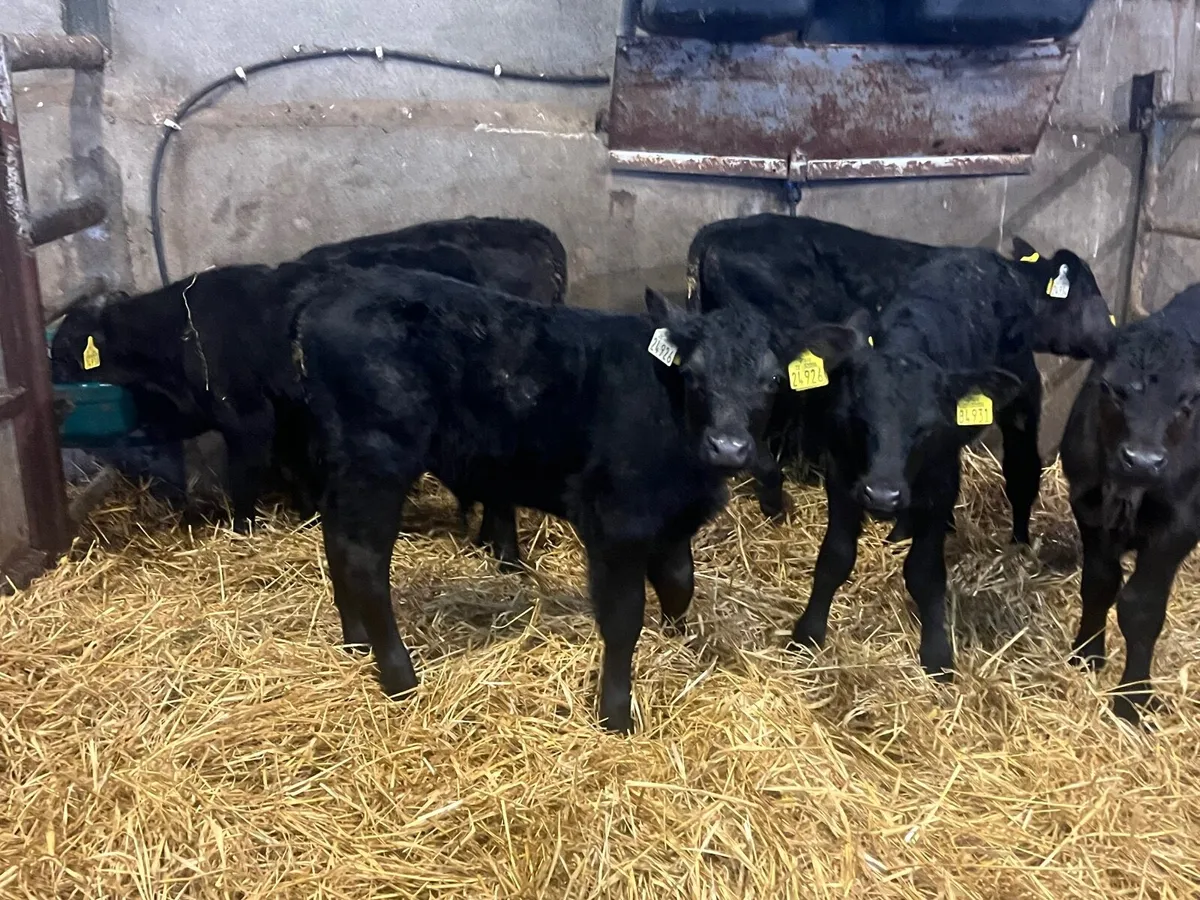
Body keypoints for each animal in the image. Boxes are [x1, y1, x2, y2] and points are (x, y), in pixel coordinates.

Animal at [50, 217, 569, 539]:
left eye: (61, 356)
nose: (55, 396)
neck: (180, 334)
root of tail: (530, 229)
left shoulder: (248, 418)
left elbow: (245, 480)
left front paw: (244, 531)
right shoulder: (288, 416)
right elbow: (297, 470)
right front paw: (308, 516)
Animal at [292, 264, 791, 732]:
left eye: (772, 379)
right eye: (693, 373)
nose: (728, 446)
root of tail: (328, 297)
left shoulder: (670, 517)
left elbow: (678, 583)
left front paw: (677, 641)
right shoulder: (616, 518)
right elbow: (625, 616)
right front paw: (615, 716)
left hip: (347, 463)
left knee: (335, 539)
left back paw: (356, 642)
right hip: (378, 457)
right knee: (363, 559)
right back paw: (400, 678)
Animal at [786, 247, 1087, 681]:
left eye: (927, 427)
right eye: (858, 415)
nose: (883, 494)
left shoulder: (940, 478)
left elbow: (925, 572)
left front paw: (937, 654)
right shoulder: (842, 476)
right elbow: (835, 557)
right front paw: (807, 634)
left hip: (1022, 401)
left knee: (1022, 474)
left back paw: (1018, 542)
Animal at [1061, 285, 1200, 725]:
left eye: (1189, 400)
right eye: (1108, 387)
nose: (1142, 460)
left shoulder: (1179, 527)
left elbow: (1142, 608)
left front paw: (1132, 698)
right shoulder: (1088, 507)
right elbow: (1099, 584)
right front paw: (1086, 654)